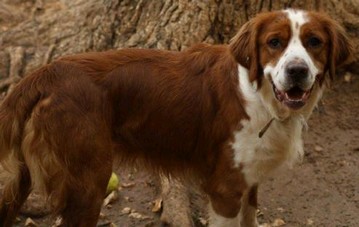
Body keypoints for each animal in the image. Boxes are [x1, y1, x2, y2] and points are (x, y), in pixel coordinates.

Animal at [0, 8, 352, 227]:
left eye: (314, 42)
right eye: (274, 42)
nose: (297, 71)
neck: (260, 96)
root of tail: (44, 74)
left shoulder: (249, 181)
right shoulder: (225, 190)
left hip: (24, 179)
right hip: (89, 182)